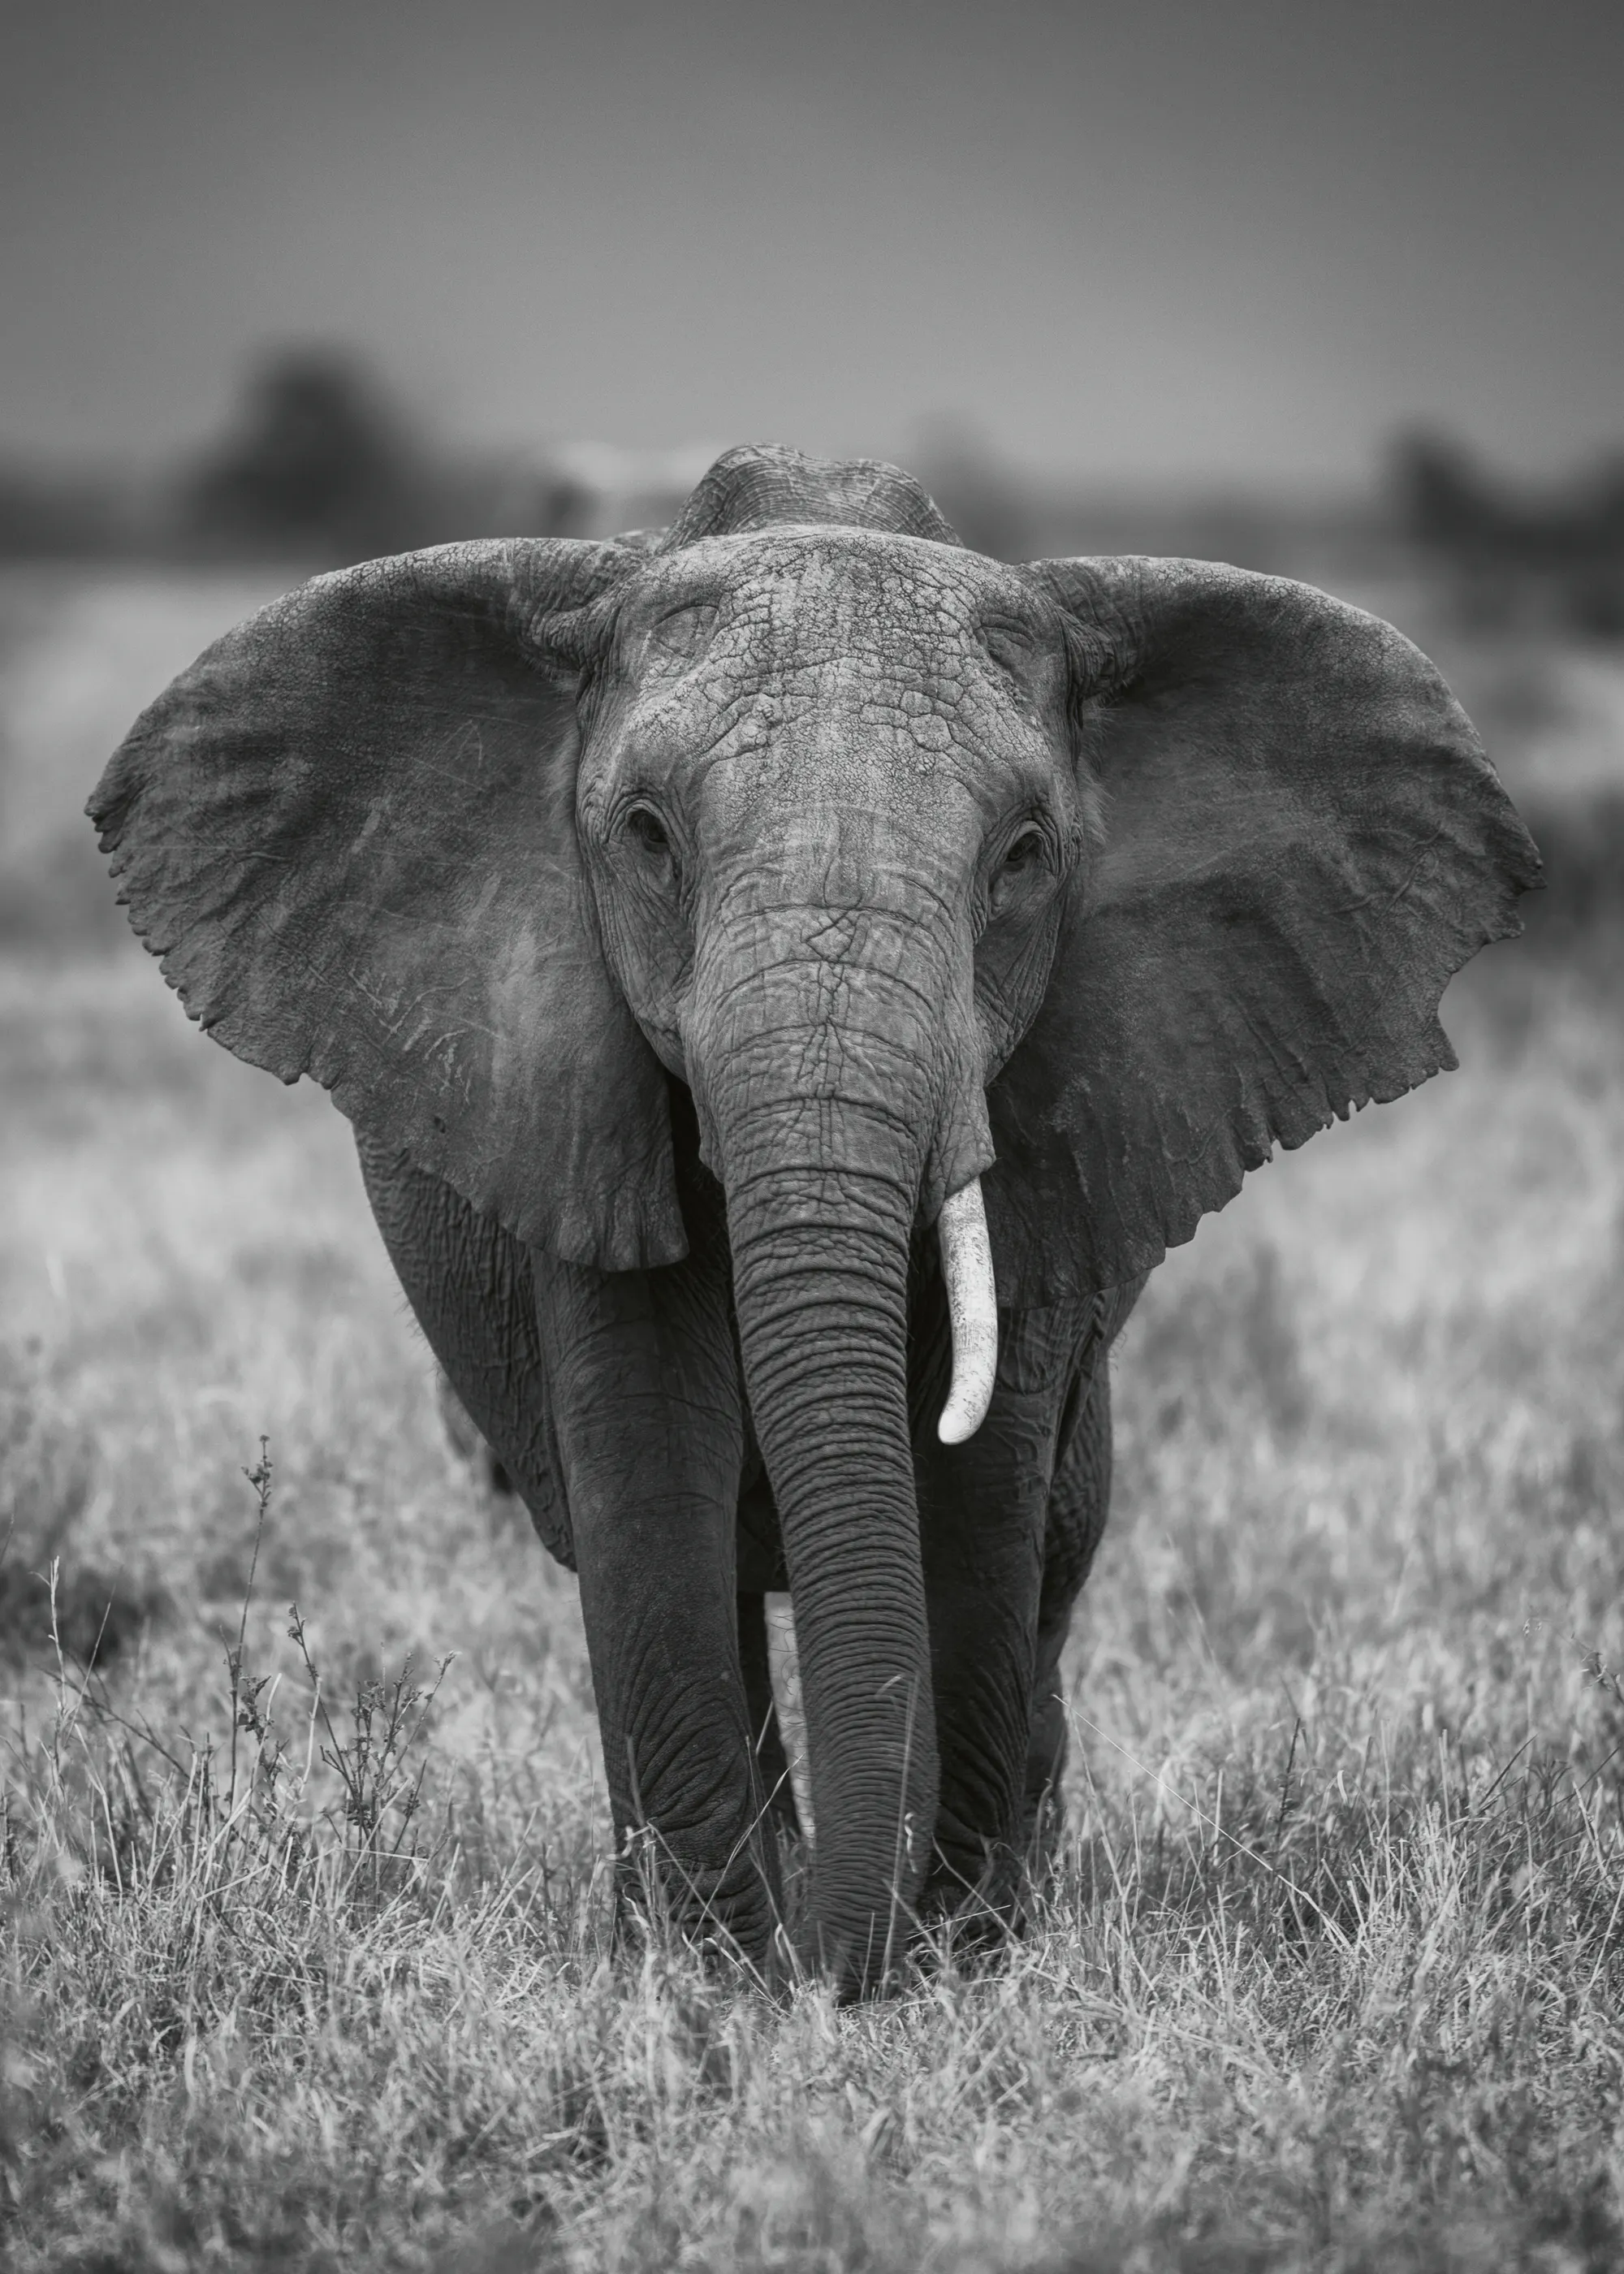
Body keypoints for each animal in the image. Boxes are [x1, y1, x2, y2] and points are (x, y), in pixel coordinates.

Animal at [88, 442, 1539, 1997]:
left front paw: (951, 1960)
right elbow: (650, 1466)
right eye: (647, 839)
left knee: (1056, 1553)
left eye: (1024, 855)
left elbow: (978, 1493)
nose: (843, 1969)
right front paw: (712, 1978)